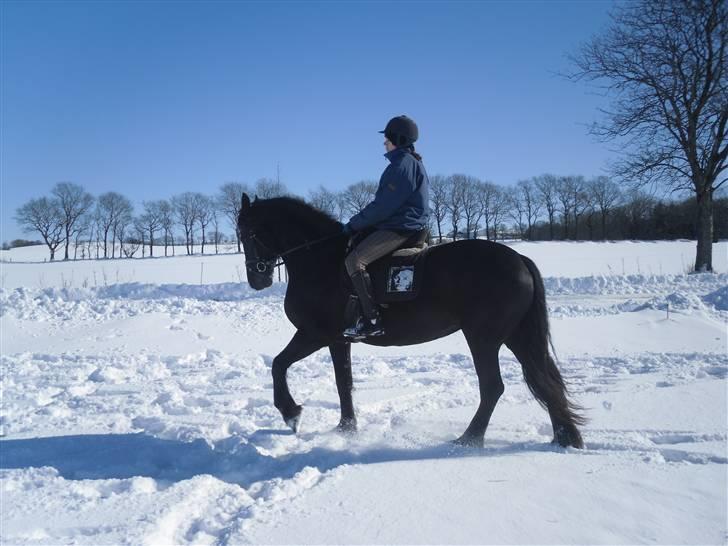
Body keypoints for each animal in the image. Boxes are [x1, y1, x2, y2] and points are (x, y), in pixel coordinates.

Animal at [239, 194, 584, 446]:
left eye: (249, 232)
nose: (257, 279)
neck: (320, 260)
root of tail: (519, 260)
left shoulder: (315, 334)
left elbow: (279, 365)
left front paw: (291, 413)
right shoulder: (339, 340)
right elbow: (342, 382)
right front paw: (346, 428)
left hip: (483, 338)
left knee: (493, 386)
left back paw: (469, 439)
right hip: (515, 336)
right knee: (544, 378)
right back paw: (563, 437)